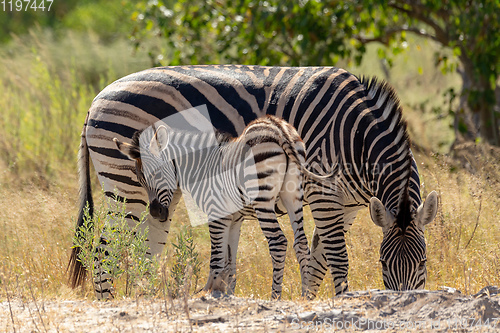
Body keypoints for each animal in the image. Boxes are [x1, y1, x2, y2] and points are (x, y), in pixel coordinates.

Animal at [115, 114, 330, 298]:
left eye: (156, 172)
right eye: (140, 179)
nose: (155, 213)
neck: (200, 166)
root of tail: (278, 128)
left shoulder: (216, 213)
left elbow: (217, 259)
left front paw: (209, 291)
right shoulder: (235, 219)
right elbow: (230, 260)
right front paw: (227, 293)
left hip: (263, 199)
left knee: (278, 242)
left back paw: (275, 297)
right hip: (293, 196)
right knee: (300, 244)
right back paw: (305, 296)